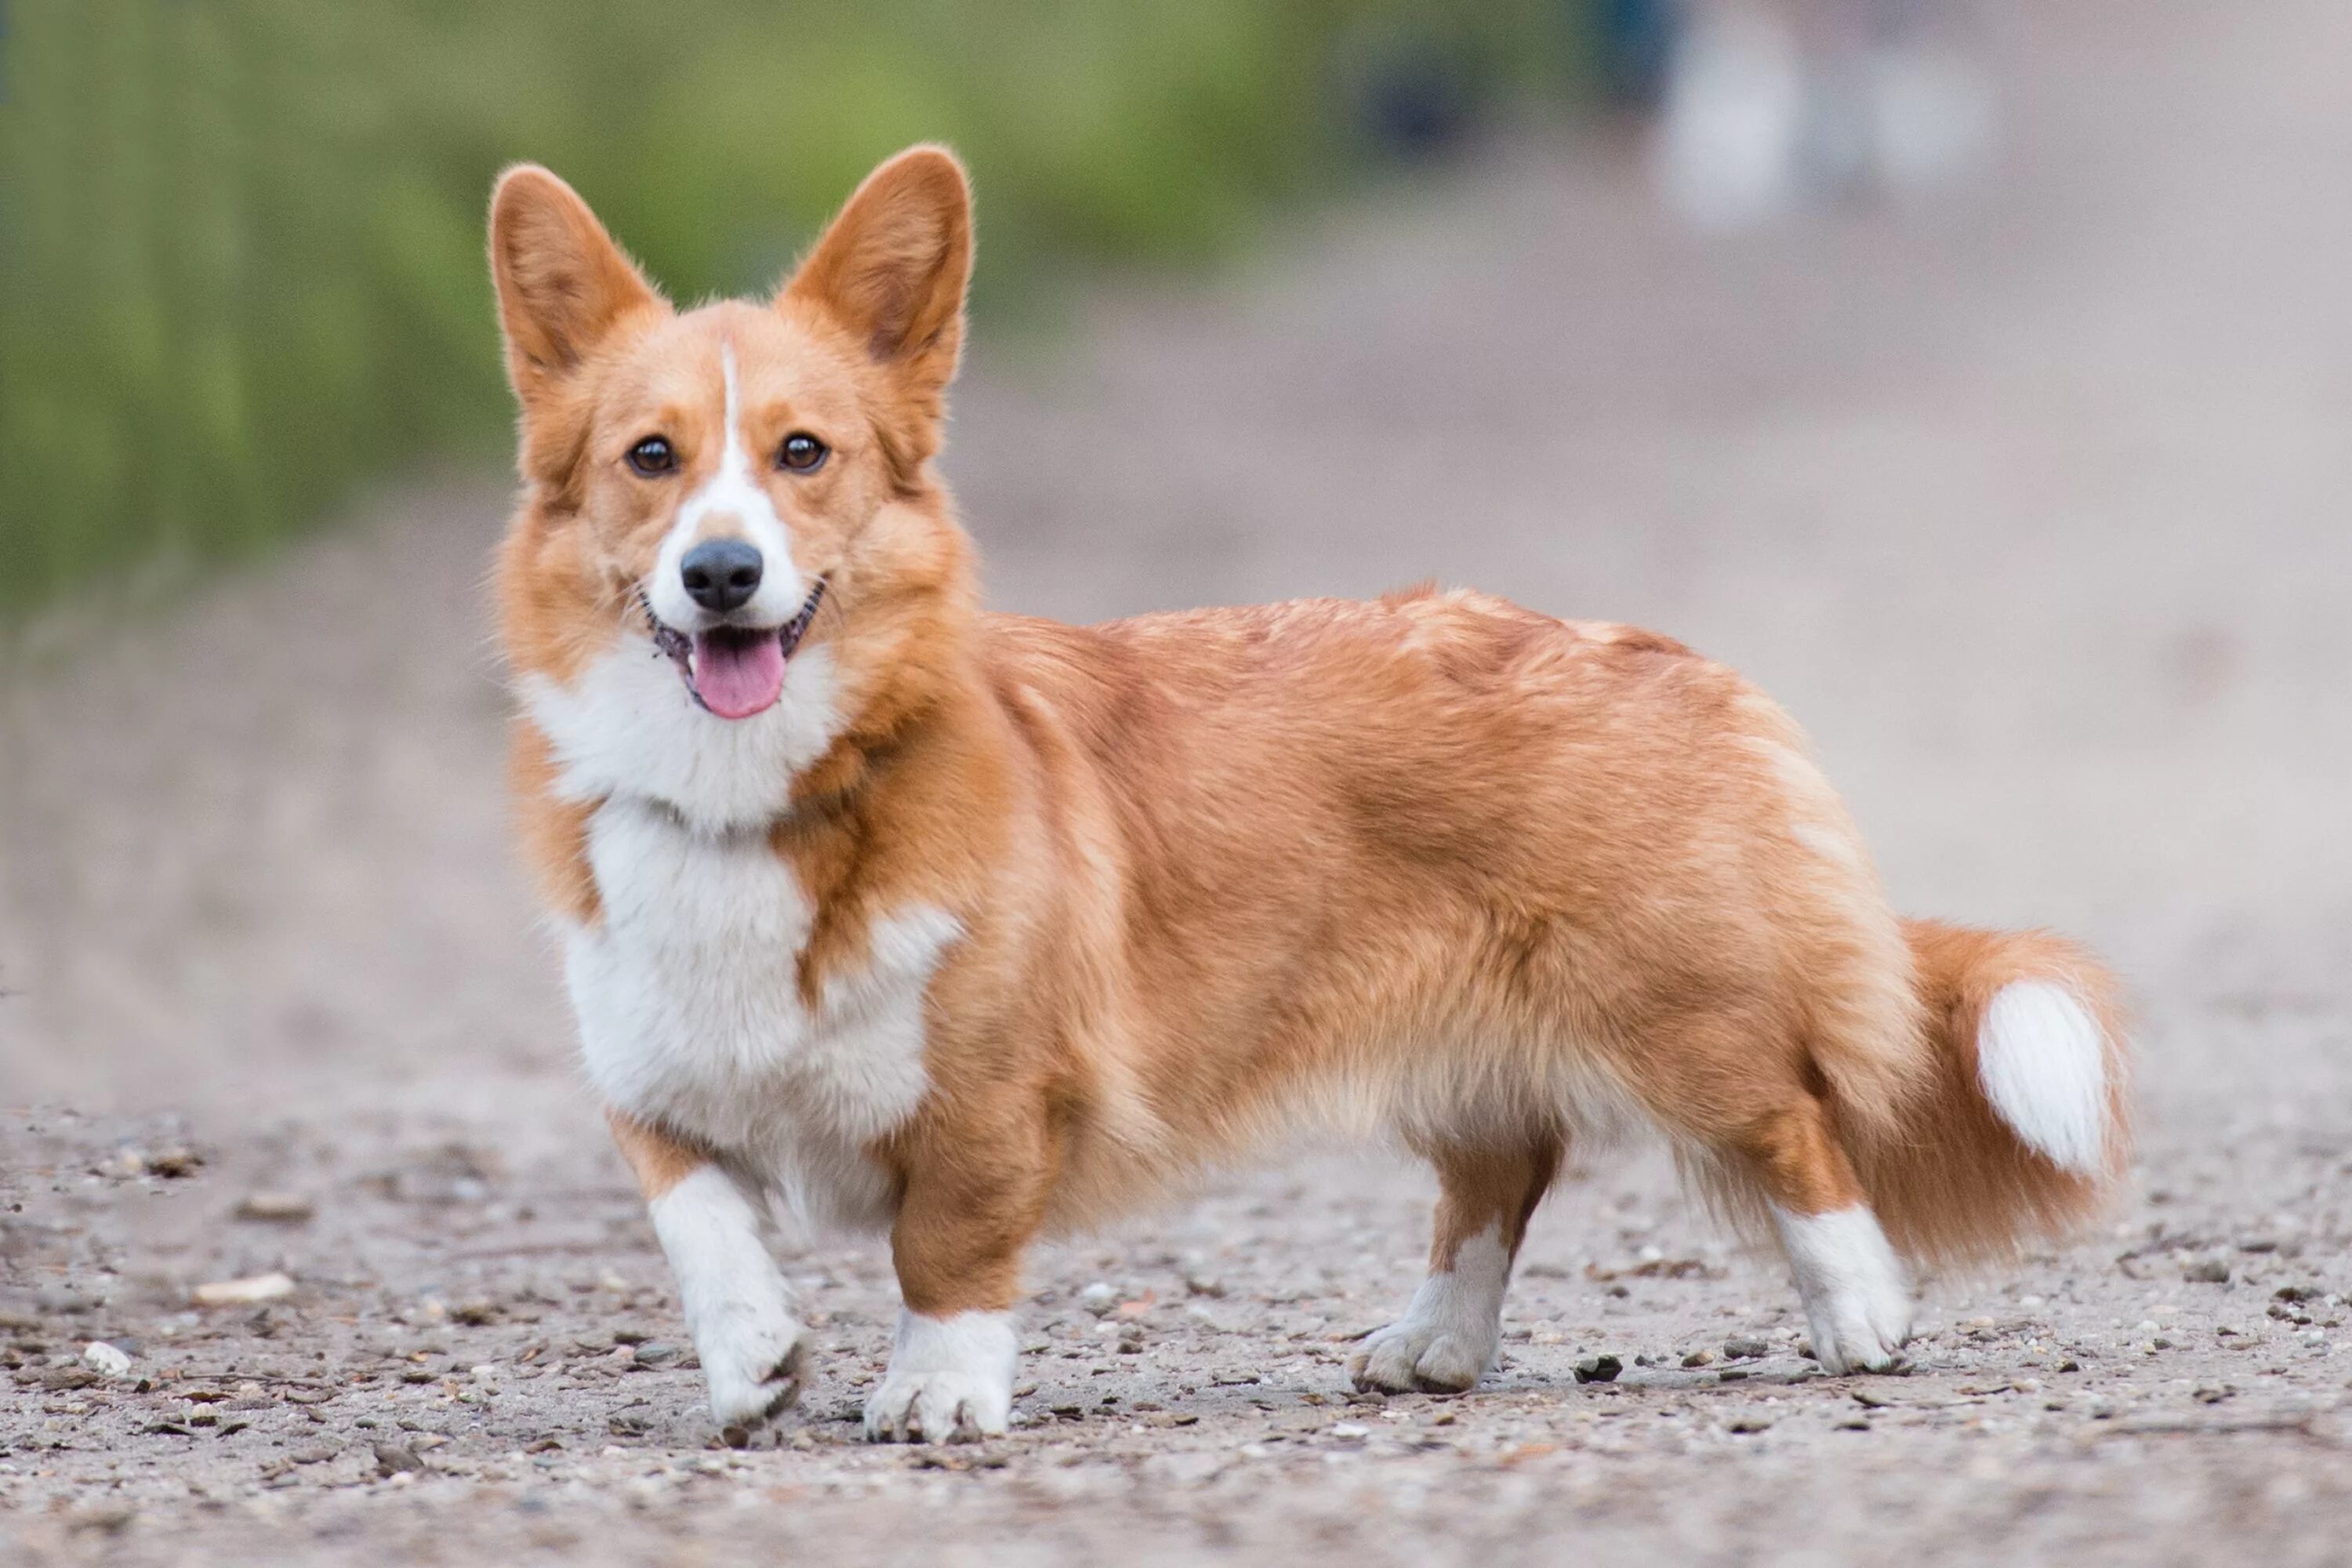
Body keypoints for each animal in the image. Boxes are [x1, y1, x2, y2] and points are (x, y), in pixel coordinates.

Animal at [492, 147, 2136, 1448]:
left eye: (802, 454)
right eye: (652, 458)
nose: (722, 574)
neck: (752, 798)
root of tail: (1656, 655)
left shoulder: (991, 1092)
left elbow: (947, 1252)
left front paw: (939, 1394)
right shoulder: (650, 1084)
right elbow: (701, 1223)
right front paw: (756, 1361)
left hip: (1683, 1016)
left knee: (1796, 1127)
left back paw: (1859, 1315)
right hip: (1467, 1043)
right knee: (1502, 1172)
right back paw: (1433, 1346)